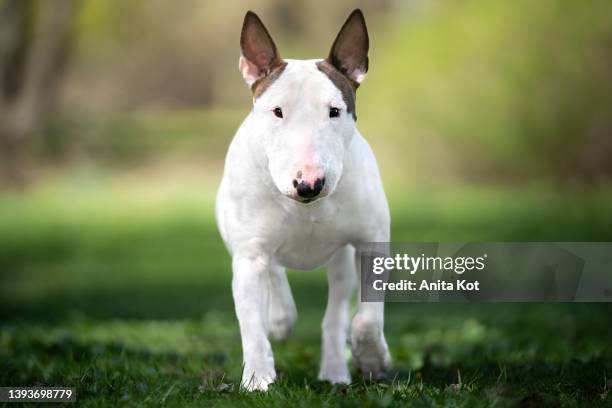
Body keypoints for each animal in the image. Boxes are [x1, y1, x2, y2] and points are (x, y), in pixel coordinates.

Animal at [215, 8, 390, 392]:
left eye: (334, 111)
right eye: (277, 111)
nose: (309, 184)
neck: (307, 209)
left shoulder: (372, 241)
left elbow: (367, 318)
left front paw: (372, 359)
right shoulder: (248, 254)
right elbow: (252, 326)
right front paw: (258, 380)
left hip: (340, 260)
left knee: (336, 311)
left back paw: (335, 369)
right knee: (275, 275)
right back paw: (281, 319)